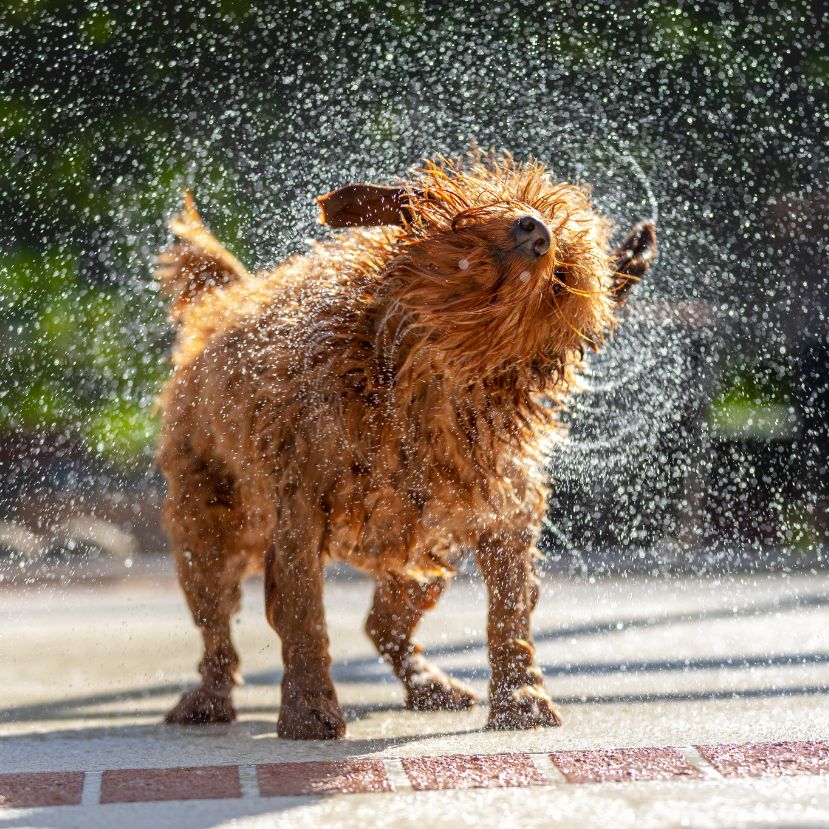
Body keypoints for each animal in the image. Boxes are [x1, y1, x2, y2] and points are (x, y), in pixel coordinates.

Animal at [155, 150, 656, 736]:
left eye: (560, 280)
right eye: (486, 207)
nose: (539, 231)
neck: (425, 376)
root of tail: (224, 303)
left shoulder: (501, 506)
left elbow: (510, 610)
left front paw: (521, 699)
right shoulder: (300, 504)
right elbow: (304, 615)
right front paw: (309, 709)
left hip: (421, 552)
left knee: (383, 626)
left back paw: (427, 683)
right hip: (207, 524)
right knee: (216, 627)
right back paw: (208, 698)